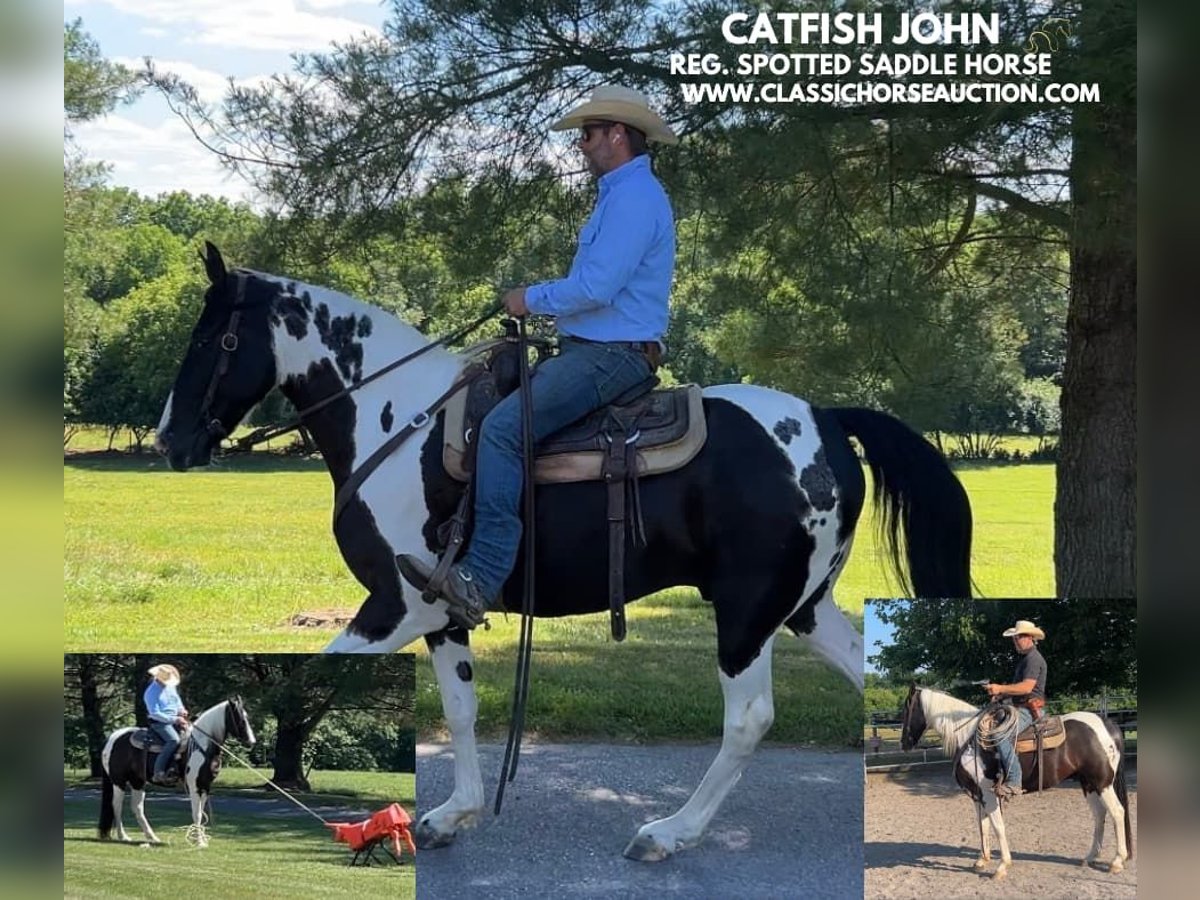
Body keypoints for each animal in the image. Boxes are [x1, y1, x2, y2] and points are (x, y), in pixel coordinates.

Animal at [99, 700, 255, 849]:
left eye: (247, 717)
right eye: (241, 719)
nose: (252, 742)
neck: (201, 746)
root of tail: (113, 737)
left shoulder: (205, 786)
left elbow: (201, 812)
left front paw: (201, 840)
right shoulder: (194, 786)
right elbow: (197, 813)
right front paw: (199, 842)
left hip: (137, 781)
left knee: (137, 808)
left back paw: (152, 837)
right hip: (119, 781)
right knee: (117, 805)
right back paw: (123, 836)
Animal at [902, 686, 1132, 878]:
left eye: (907, 709)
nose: (904, 743)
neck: (969, 739)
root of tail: (1108, 724)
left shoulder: (989, 793)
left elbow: (997, 826)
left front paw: (1002, 866)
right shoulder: (978, 796)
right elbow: (983, 825)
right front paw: (982, 860)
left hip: (1103, 783)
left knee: (1117, 812)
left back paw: (1117, 861)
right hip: (1088, 784)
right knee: (1100, 815)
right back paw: (1090, 857)